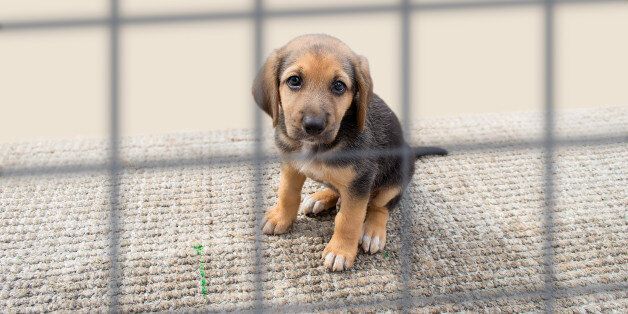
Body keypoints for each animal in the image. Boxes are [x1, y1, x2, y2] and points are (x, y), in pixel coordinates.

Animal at [251, 33, 446, 272]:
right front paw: (280, 217)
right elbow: (287, 193)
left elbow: (349, 219)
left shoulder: (360, 181)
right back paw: (321, 197)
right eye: (294, 80)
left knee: (380, 206)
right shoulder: (291, 166)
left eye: (338, 86)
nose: (313, 126)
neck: (317, 147)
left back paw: (372, 231)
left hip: (396, 177)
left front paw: (340, 251)